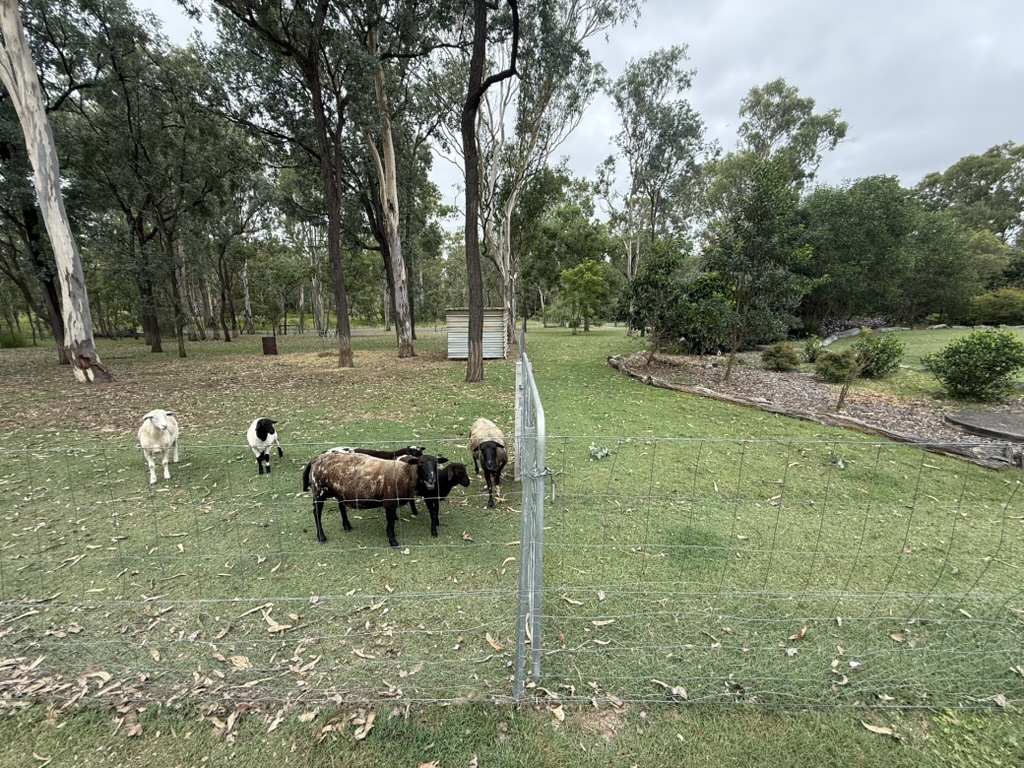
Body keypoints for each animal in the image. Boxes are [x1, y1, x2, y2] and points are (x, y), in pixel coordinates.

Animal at [301, 450, 445, 547]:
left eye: (436, 463)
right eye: (420, 463)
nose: (432, 480)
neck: (405, 474)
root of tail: (316, 459)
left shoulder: (390, 502)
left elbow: (390, 521)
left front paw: (389, 534)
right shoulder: (389, 501)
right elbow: (391, 522)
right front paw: (393, 541)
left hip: (339, 490)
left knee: (341, 506)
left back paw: (347, 526)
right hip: (319, 491)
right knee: (316, 512)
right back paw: (321, 537)